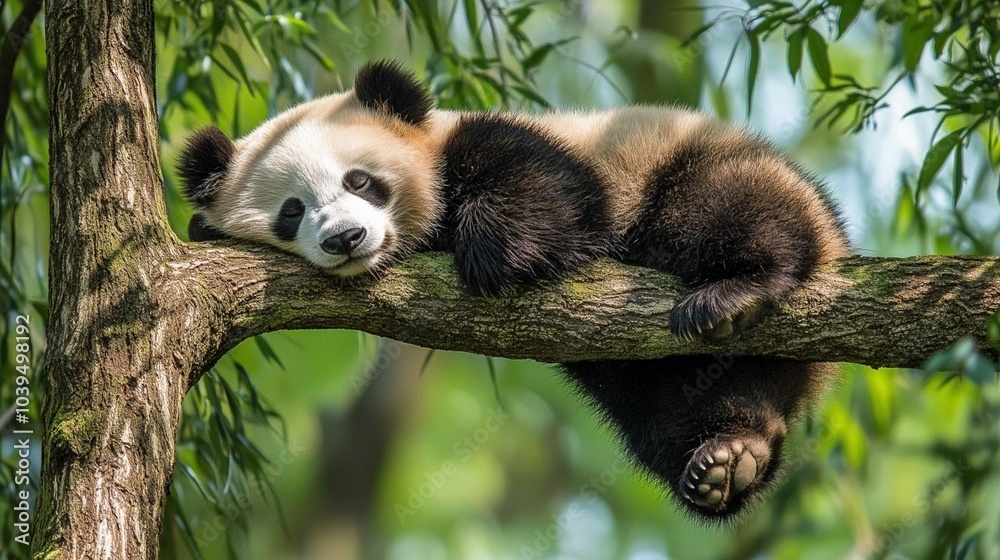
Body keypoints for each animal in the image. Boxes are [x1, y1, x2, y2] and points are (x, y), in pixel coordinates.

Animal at [178, 60, 851, 520]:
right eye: (292, 211)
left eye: (360, 180)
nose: (346, 238)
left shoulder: (519, 143)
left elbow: (550, 200)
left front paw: (494, 251)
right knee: (676, 406)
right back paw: (731, 457)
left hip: (693, 168)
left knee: (723, 209)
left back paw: (741, 289)